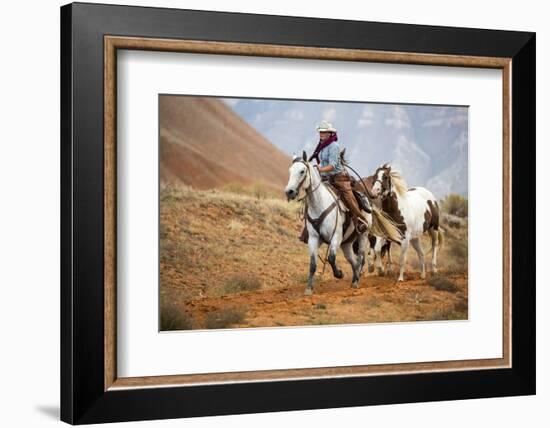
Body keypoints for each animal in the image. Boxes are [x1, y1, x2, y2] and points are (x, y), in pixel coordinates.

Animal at [286, 152, 404, 296]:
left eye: (302, 171)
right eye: (290, 171)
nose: (289, 191)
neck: (319, 204)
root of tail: (368, 201)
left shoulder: (335, 237)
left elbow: (331, 257)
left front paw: (339, 274)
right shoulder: (313, 239)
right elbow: (313, 263)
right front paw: (308, 289)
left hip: (362, 235)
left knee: (360, 258)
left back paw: (356, 281)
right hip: (346, 243)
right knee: (353, 260)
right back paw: (355, 278)